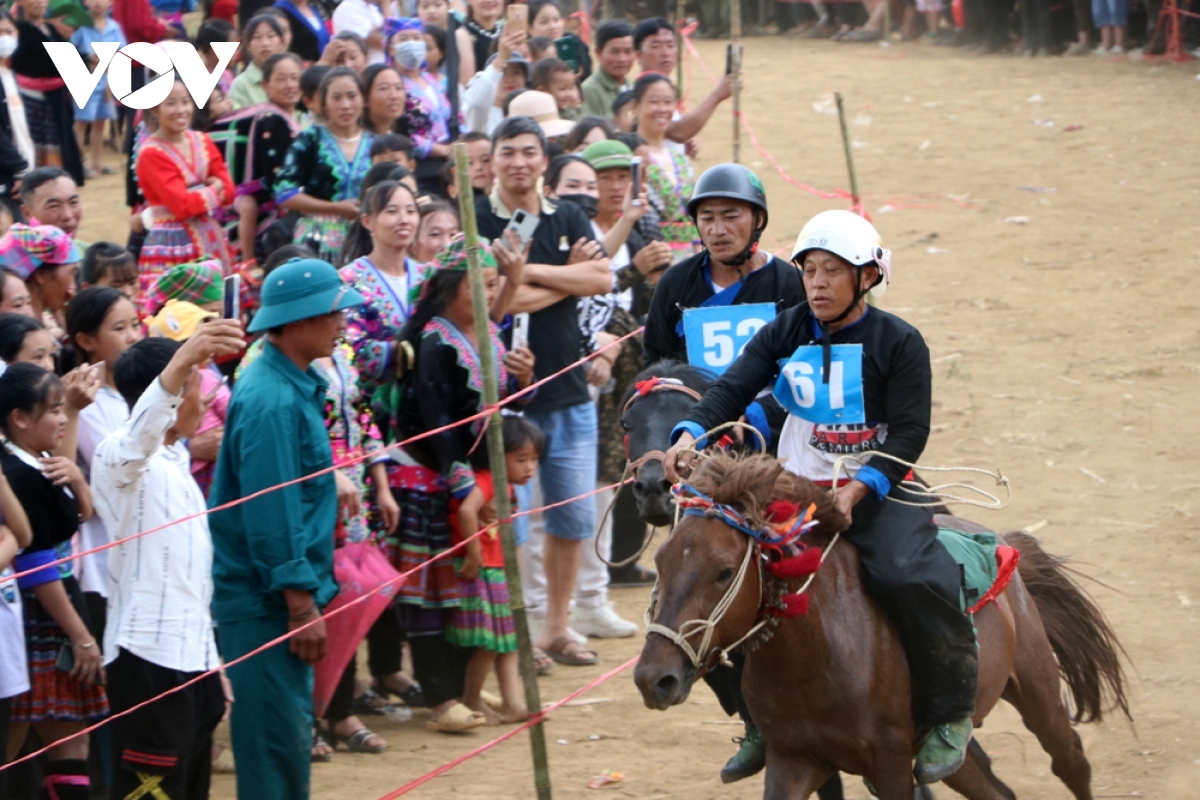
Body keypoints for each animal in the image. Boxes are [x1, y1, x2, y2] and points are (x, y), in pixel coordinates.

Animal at [633, 453, 1128, 796]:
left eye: (723, 571)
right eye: (660, 562)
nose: (653, 678)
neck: (815, 656)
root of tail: (1005, 544)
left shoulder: (890, 766)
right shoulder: (794, 761)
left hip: (1039, 695)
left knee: (1072, 763)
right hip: (950, 752)